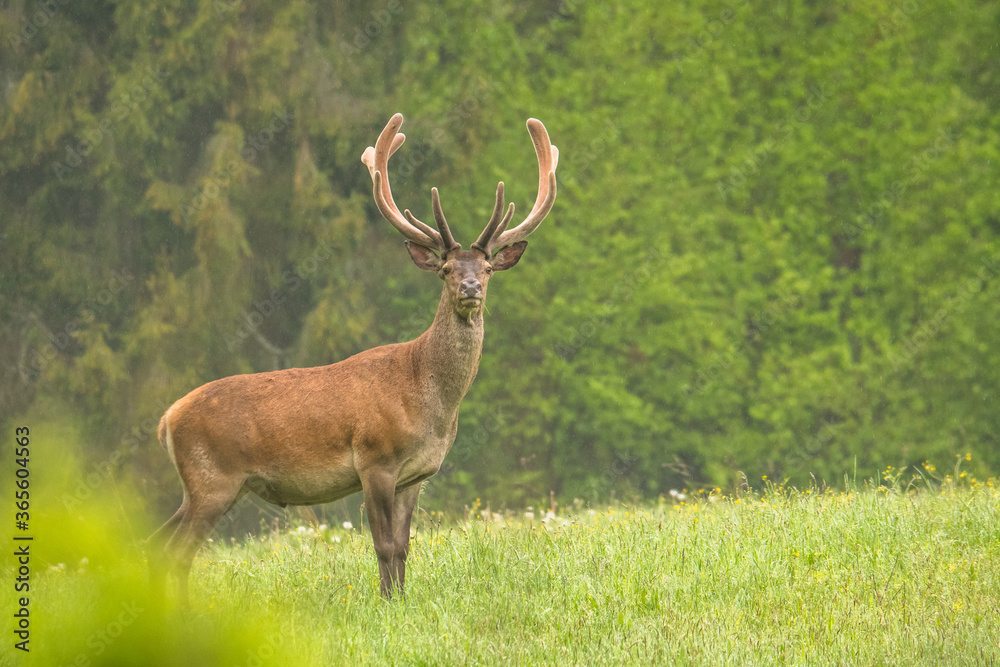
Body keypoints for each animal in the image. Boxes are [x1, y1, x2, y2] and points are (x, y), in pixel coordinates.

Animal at [148, 113, 558, 600]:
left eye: (489, 268)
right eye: (445, 270)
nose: (471, 288)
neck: (428, 399)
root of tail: (167, 419)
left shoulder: (416, 475)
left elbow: (404, 546)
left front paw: (401, 600)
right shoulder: (374, 460)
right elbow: (383, 545)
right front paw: (386, 603)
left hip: (198, 487)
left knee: (155, 541)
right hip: (213, 480)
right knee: (176, 550)